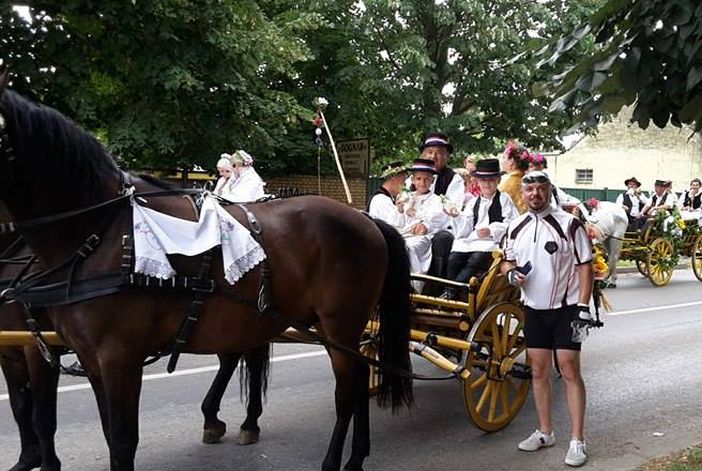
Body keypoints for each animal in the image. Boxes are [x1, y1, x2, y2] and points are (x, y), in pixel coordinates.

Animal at [0, 81, 412, 471]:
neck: (100, 231)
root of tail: (366, 219)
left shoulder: (117, 357)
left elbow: (116, 441)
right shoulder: (86, 358)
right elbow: (58, 419)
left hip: (340, 322)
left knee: (345, 390)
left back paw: (331, 460)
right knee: (357, 378)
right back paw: (354, 456)